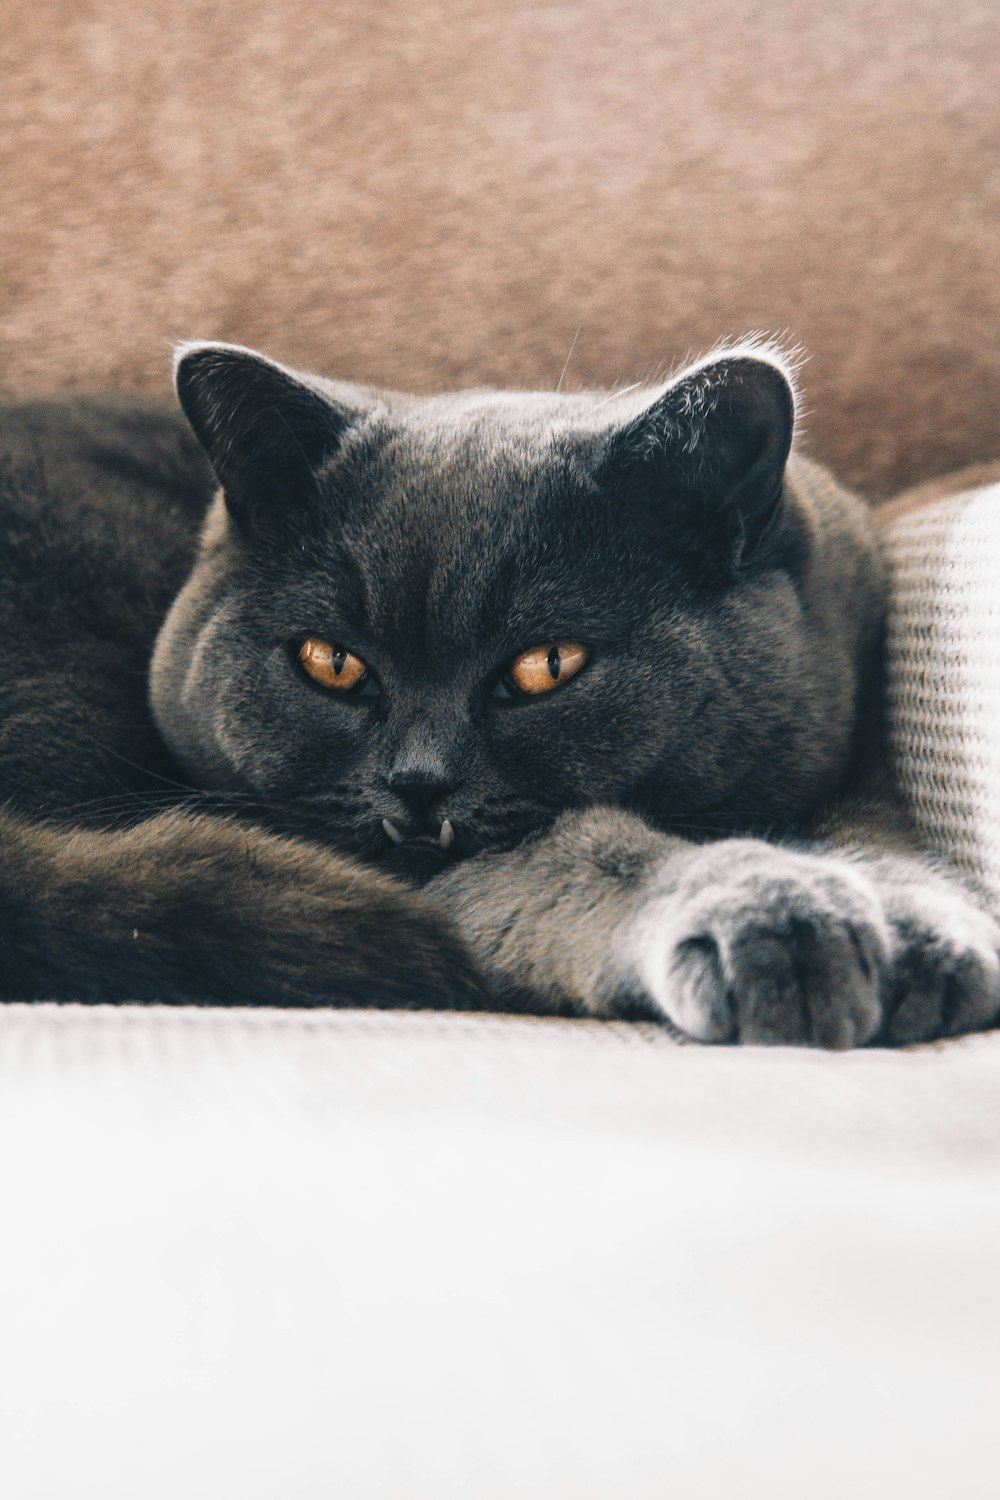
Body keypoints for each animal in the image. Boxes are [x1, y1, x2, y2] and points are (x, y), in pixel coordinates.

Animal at [0, 339, 995, 1044]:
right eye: (331, 662)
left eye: (547, 665)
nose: (416, 783)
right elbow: (585, 854)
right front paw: (773, 916)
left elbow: (875, 827)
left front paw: (925, 935)